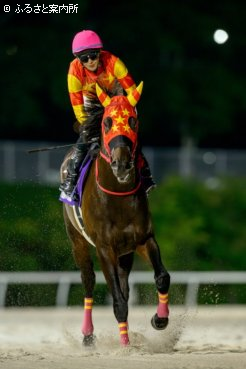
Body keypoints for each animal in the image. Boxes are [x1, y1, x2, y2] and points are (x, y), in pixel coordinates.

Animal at [60, 82, 170, 346]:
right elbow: (118, 301)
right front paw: (125, 346)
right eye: (107, 122)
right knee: (88, 281)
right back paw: (88, 335)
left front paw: (159, 319)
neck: (117, 197)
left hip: (125, 253)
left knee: (125, 286)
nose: (121, 164)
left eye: (133, 120)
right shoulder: (104, 248)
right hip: (77, 241)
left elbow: (162, 277)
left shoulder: (143, 239)